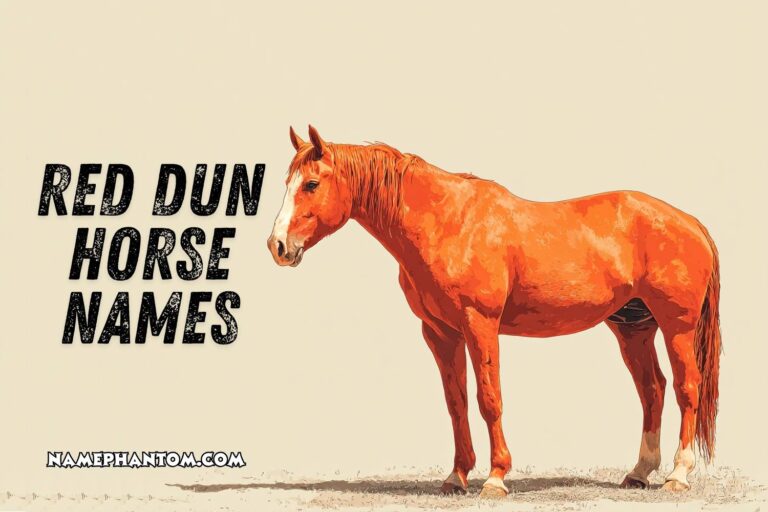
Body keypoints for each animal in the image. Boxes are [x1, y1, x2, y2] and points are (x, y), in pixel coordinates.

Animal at [267, 125, 721, 498]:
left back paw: (677, 475)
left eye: (311, 183)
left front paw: (495, 478)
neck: (446, 222)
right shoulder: (439, 332)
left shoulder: (480, 325)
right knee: (652, 390)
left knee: (687, 389)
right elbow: (456, 402)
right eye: (287, 182)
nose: (278, 246)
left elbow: (489, 399)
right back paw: (639, 473)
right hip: (633, 328)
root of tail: (689, 222)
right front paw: (456, 477)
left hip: (676, 326)